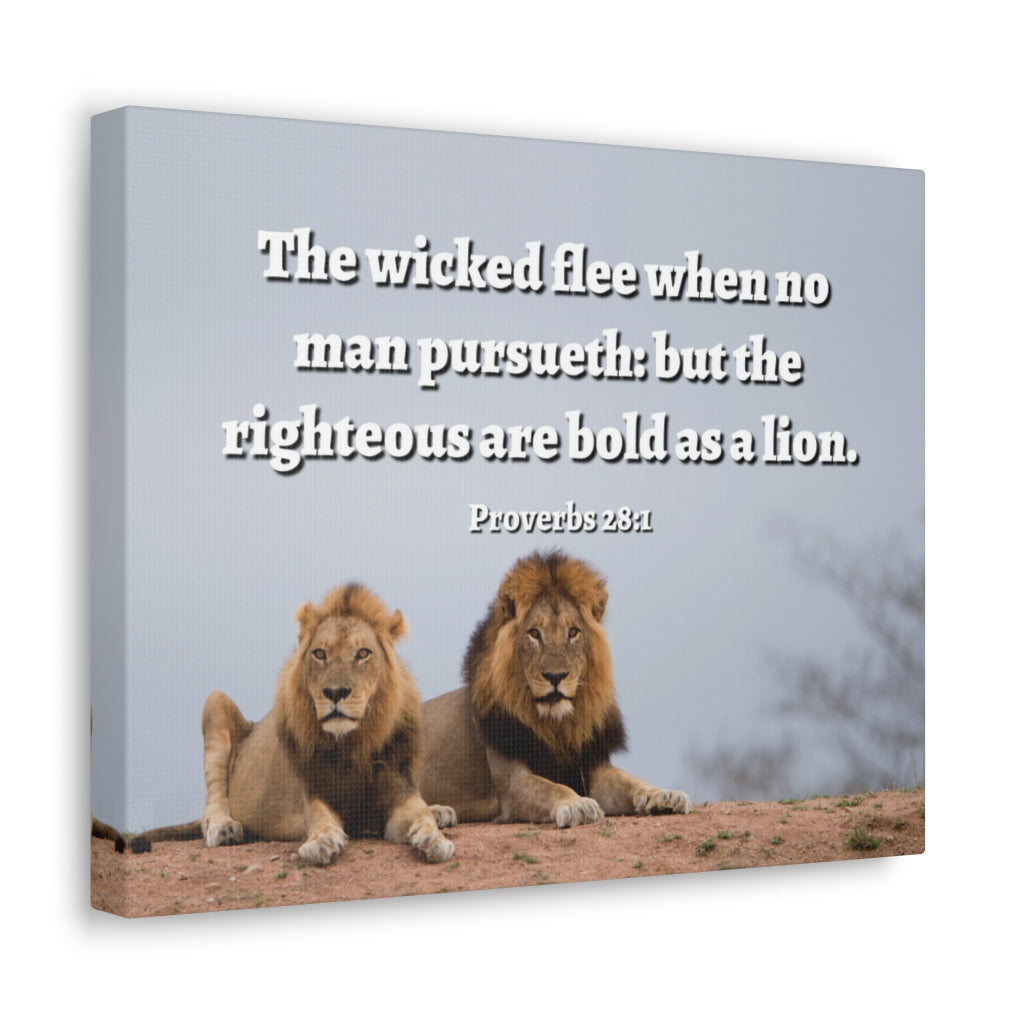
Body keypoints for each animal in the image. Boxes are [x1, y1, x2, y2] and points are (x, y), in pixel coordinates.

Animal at [131, 584, 455, 865]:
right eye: (320, 653)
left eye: (363, 653)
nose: (335, 692)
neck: (353, 745)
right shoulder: (314, 793)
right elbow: (321, 820)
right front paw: (321, 842)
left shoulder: (399, 792)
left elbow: (420, 815)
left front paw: (435, 838)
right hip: (215, 701)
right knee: (211, 805)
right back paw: (224, 828)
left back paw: (441, 811)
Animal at [419, 551, 691, 827]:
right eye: (534, 633)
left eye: (573, 632)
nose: (555, 676)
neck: (557, 726)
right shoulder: (512, 783)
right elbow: (551, 788)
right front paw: (578, 804)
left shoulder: (592, 767)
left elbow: (630, 780)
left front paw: (664, 795)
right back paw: (439, 812)